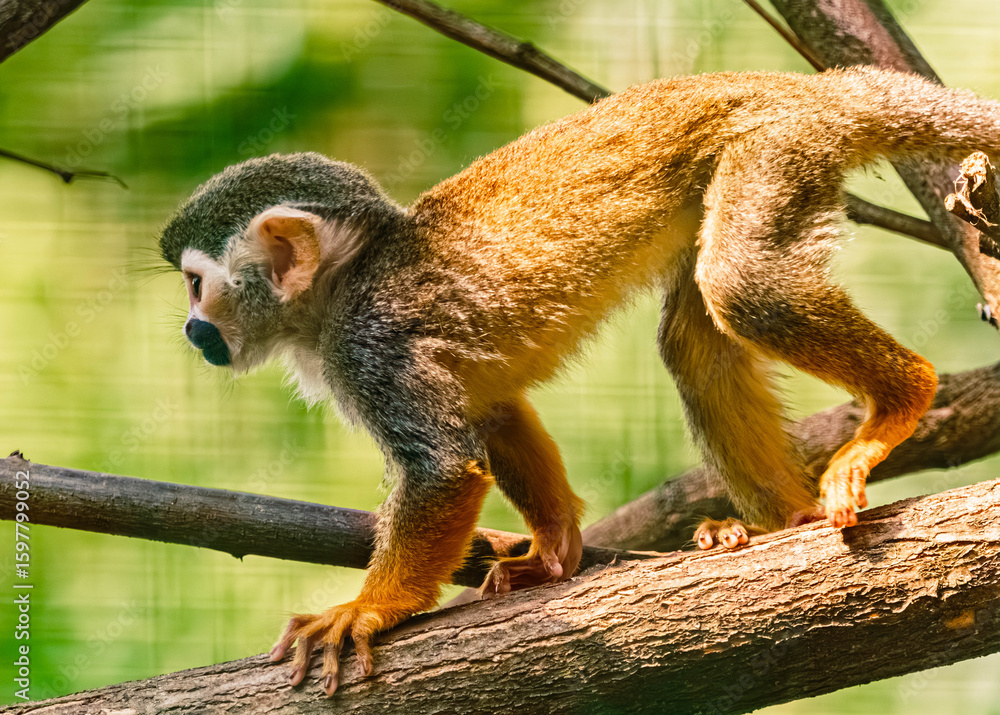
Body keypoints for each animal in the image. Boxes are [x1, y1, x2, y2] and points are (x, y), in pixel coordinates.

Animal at [159, 66, 999, 695]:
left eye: (198, 286)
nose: (192, 329)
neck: (343, 284)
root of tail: (804, 84)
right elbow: (491, 405)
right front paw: (555, 552)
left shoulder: (372, 344)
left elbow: (442, 468)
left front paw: (369, 608)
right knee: (696, 336)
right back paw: (780, 521)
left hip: (774, 149)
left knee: (742, 286)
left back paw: (901, 399)